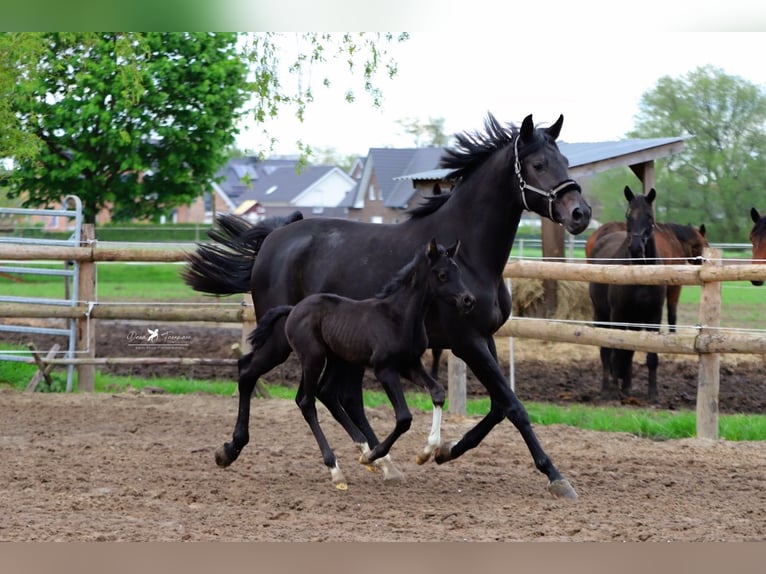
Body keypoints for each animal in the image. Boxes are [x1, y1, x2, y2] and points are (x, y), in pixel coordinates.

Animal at [248, 238, 474, 490]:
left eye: (458, 271)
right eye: (443, 275)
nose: (468, 300)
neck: (399, 317)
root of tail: (293, 309)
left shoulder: (410, 365)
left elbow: (437, 392)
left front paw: (426, 452)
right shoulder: (384, 369)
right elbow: (404, 418)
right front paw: (374, 455)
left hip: (336, 359)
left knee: (323, 393)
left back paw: (364, 453)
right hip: (313, 358)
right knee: (307, 402)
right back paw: (337, 469)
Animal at [592, 188, 668, 400]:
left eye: (649, 216)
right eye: (628, 215)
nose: (635, 248)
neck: (640, 274)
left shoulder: (653, 316)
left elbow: (649, 355)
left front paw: (653, 392)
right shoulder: (618, 314)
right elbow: (617, 349)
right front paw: (615, 384)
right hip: (601, 314)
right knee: (605, 351)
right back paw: (607, 386)